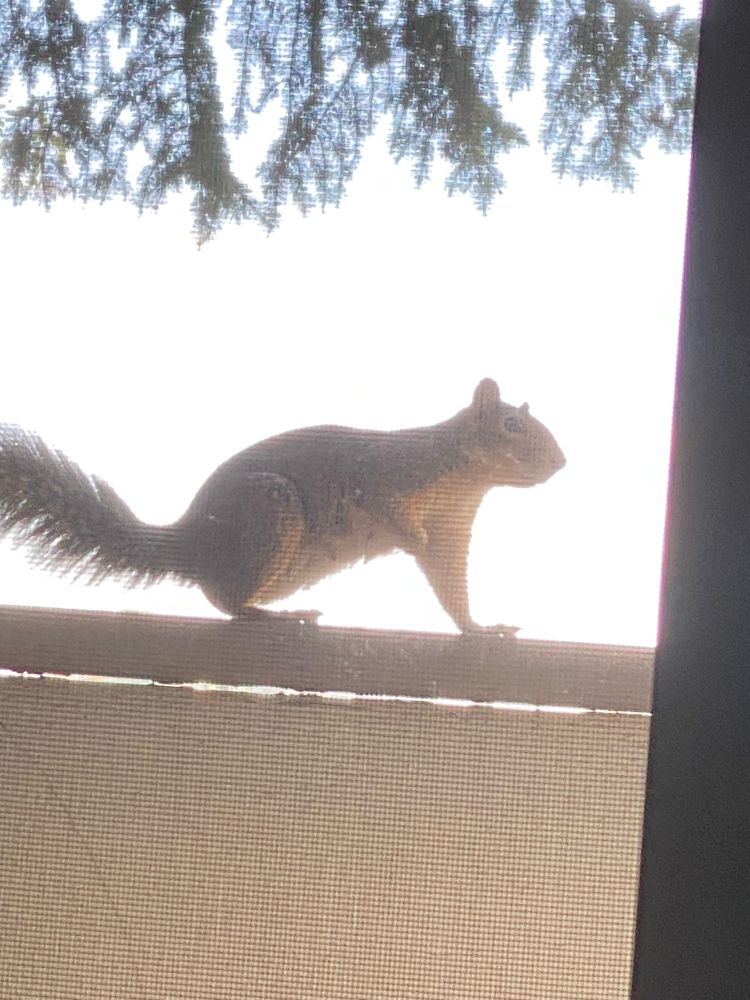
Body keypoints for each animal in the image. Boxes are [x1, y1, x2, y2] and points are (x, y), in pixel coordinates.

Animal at [0, 379, 564, 633]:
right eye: (511, 426)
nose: (562, 461)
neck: (465, 480)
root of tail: (189, 544)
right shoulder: (385, 476)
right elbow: (383, 507)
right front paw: (409, 536)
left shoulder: (452, 528)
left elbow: (450, 586)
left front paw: (480, 628)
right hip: (271, 512)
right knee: (227, 602)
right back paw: (275, 616)